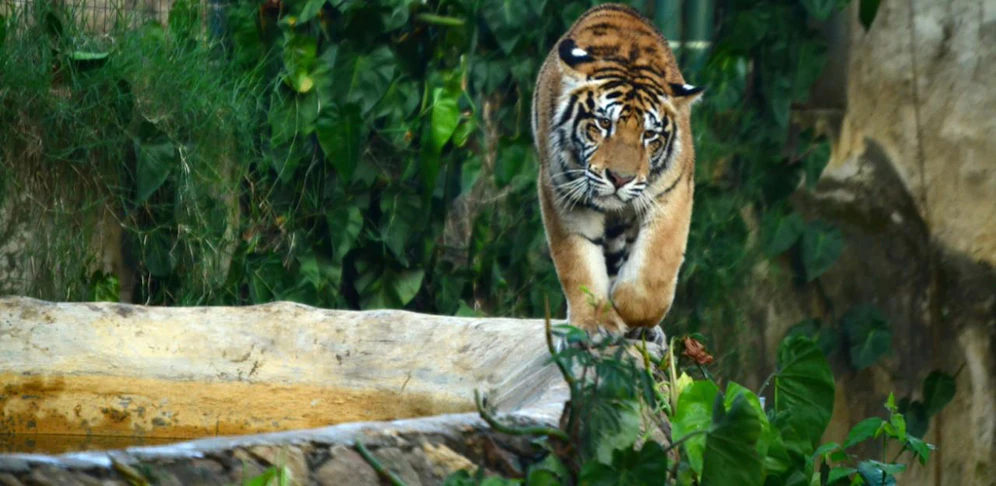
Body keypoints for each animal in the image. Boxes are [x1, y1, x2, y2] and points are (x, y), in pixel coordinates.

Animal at [531, 3, 703, 343]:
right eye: (603, 124)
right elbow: (578, 262)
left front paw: (629, 312)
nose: (620, 179)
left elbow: (654, 271)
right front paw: (595, 321)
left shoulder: (673, 193)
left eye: (649, 135)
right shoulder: (563, 194)